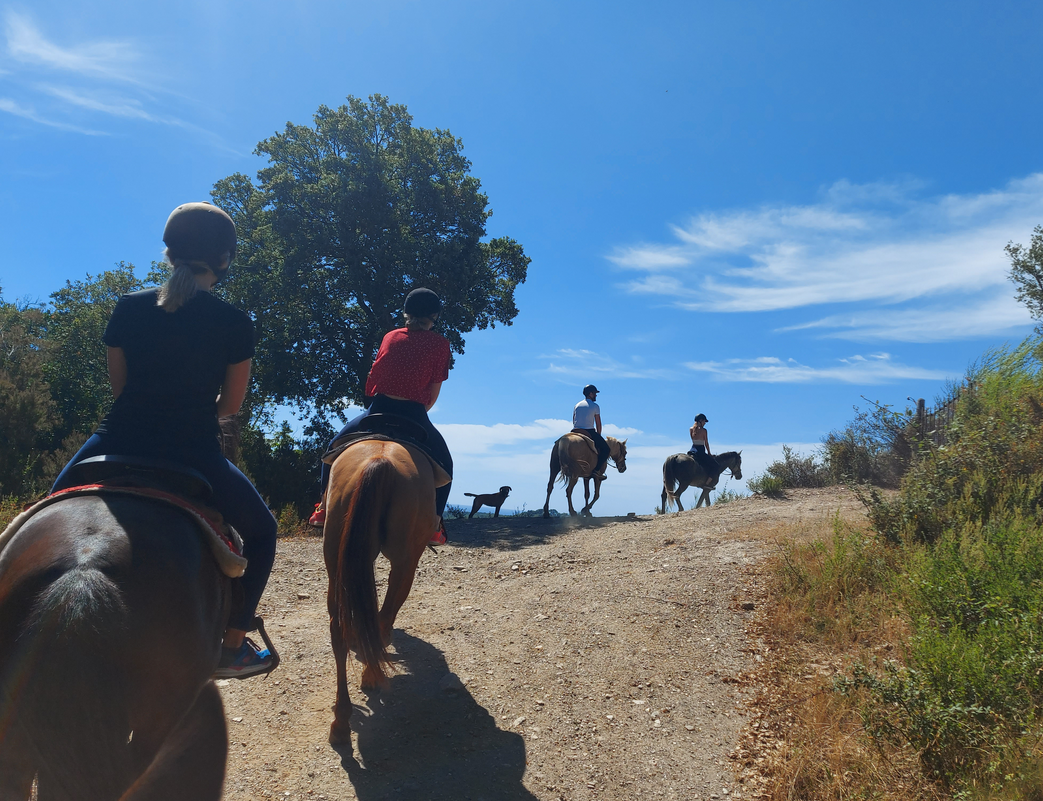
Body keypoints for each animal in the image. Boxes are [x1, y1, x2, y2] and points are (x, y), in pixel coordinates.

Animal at [323, 438, 450, 742]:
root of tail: (379, 462)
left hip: (336, 554)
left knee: (339, 629)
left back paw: (341, 722)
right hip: (405, 561)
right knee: (383, 618)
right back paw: (371, 675)